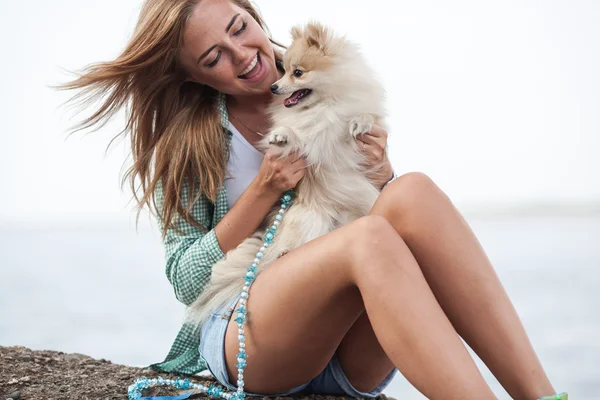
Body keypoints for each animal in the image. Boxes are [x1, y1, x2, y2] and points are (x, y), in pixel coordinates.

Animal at [185, 21, 386, 326]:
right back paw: (284, 253)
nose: (274, 86)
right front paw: (281, 135)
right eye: (285, 71)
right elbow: (294, 131)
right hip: (307, 219)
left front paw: (359, 123)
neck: (323, 104)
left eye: (298, 72)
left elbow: (363, 118)